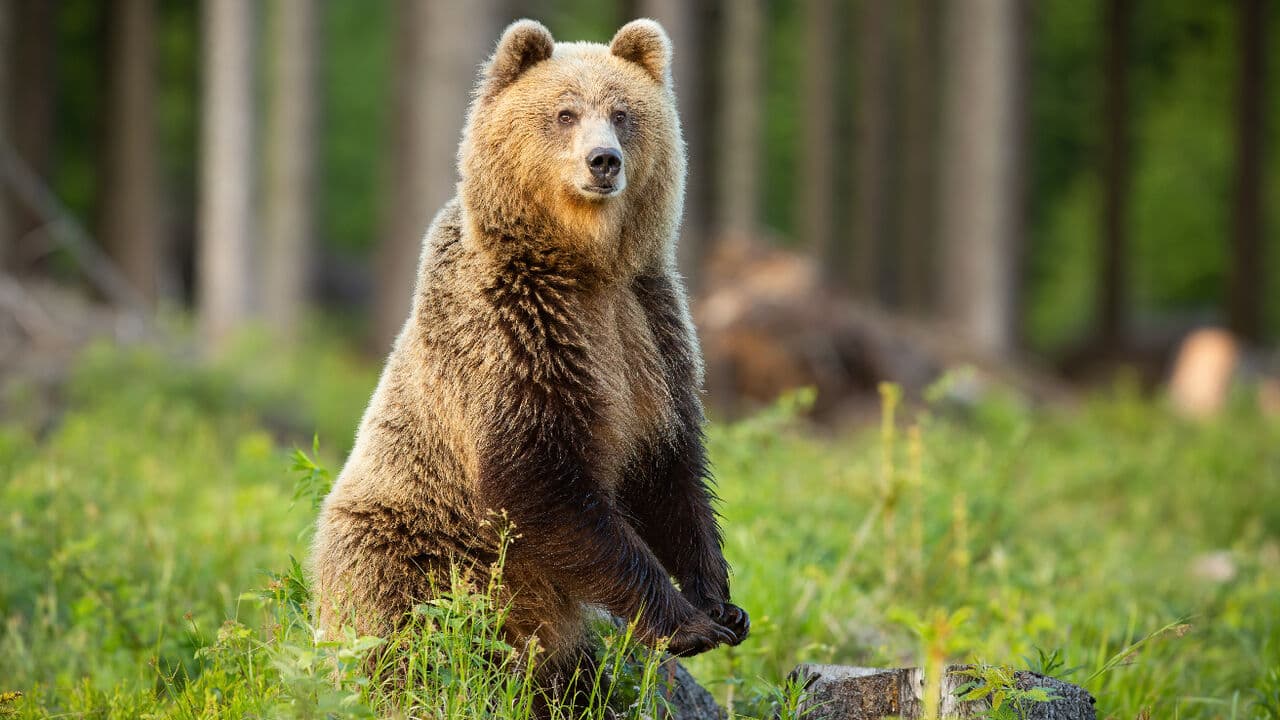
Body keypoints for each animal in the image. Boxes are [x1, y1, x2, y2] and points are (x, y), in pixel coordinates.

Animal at [309, 17, 749, 704]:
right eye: (565, 112)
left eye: (622, 113)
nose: (604, 161)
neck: (582, 267)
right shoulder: (515, 332)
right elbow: (536, 477)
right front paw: (685, 622)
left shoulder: (650, 328)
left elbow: (670, 469)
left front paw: (721, 602)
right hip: (412, 553)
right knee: (400, 637)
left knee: (572, 673)